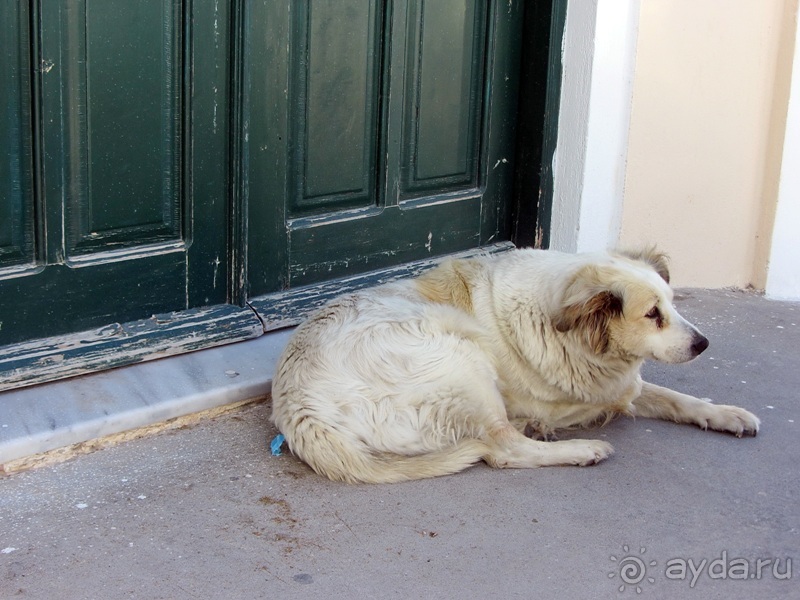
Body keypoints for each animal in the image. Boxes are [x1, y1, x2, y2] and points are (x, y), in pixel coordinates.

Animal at [270, 248, 764, 482]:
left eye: (674, 304)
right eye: (652, 314)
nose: (703, 343)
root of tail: (297, 407)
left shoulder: (622, 385)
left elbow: (675, 398)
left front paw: (726, 414)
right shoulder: (574, 397)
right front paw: (555, 428)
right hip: (463, 359)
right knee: (505, 450)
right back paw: (580, 448)